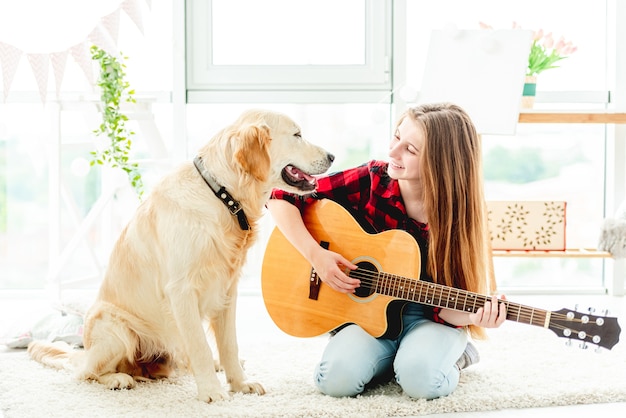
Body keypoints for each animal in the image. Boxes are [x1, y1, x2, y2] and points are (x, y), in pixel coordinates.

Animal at [28, 108, 334, 402]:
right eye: (297, 135)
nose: (332, 156)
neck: (221, 195)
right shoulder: (181, 290)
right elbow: (199, 346)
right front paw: (211, 391)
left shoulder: (227, 290)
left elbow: (229, 344)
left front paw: (239, 383)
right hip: (115, 328)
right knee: (86, 371)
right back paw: (118, 378)